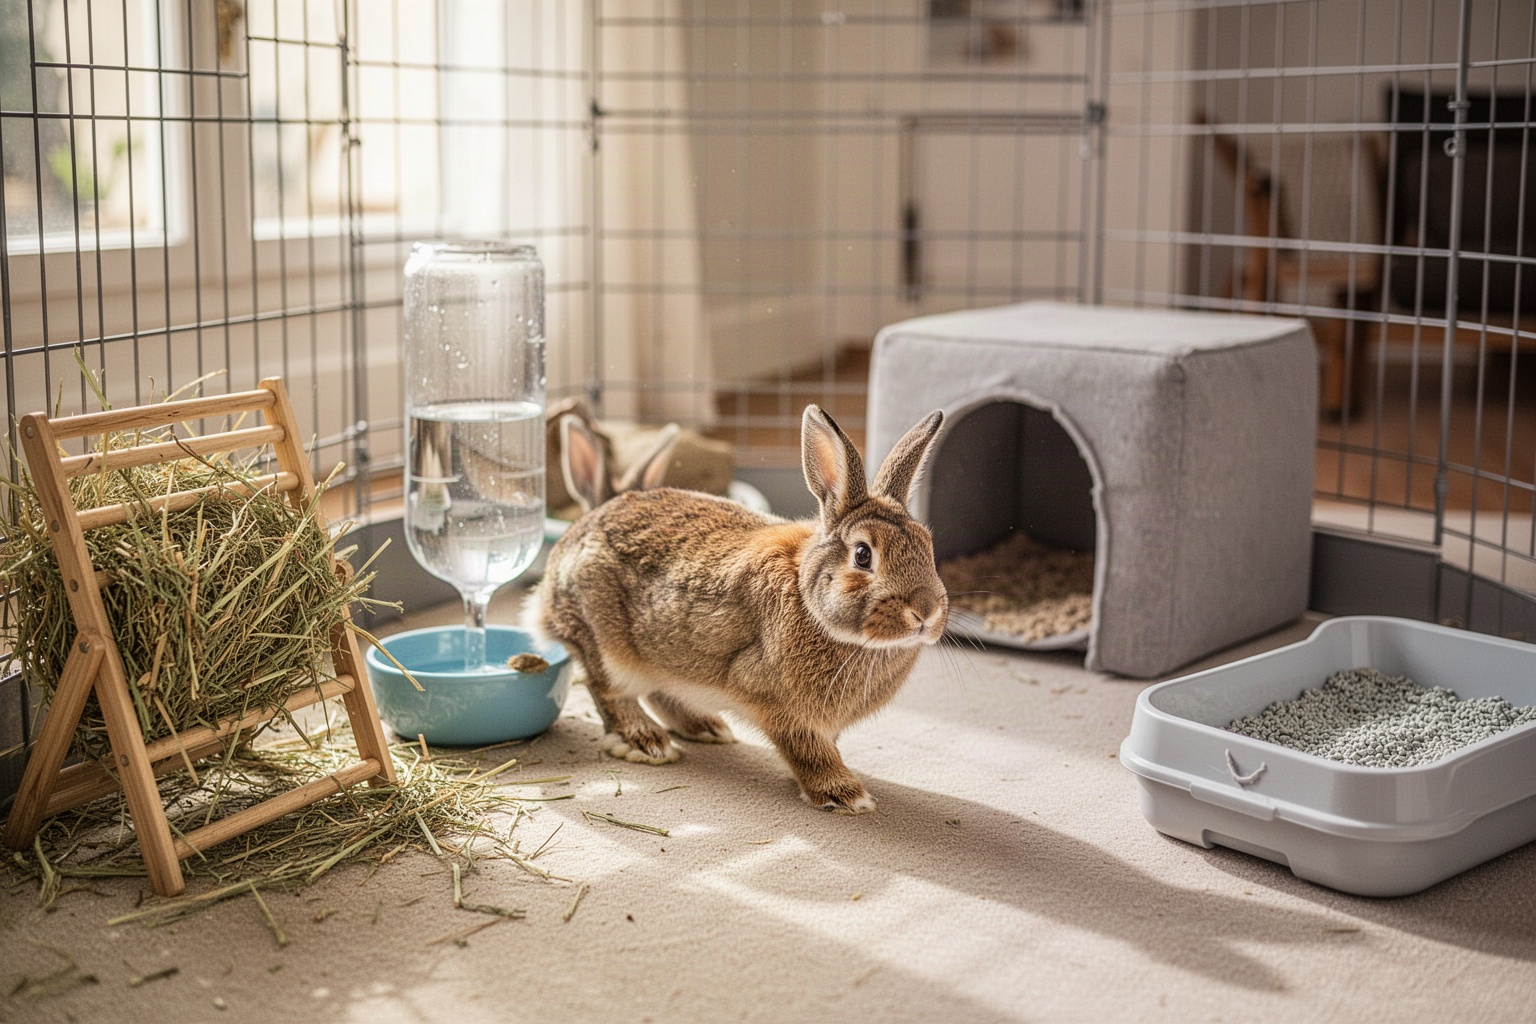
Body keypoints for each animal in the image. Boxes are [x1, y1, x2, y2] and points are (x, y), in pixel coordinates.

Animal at [535, 404, 947, 813]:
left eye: (928, 545)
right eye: (863, 555)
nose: (925, 612)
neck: (807, 597)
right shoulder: (779, 705)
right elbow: (807, 750)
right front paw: (844, 794)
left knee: (658, 690)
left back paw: (704, 726)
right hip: (606, 645)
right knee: (608, 691)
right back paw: (646, 741)